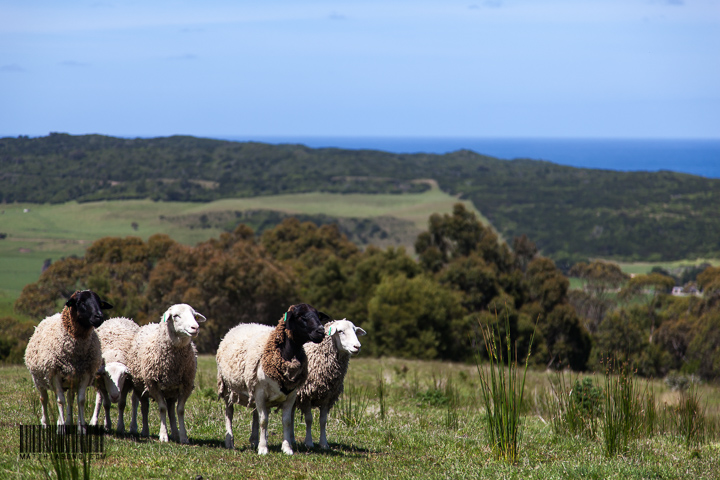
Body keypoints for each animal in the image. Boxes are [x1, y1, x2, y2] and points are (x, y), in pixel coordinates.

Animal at [23, 288, 113, 428]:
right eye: (81, 302)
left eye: (99, 303)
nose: (99, 317)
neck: (75, 351)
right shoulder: (55, 373)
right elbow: (60, 401)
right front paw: (61, 427)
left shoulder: (85, 373)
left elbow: (81, 400)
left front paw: (81, 427)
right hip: (39, 379)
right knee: (44, 399)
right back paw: (46, 423)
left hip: (70, 379)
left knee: (70, 399)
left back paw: (68, 421)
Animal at [126, 304, 205, 442]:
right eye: (176, 316)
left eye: (194, 315)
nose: (195, 327)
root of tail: (150, 324)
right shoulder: (153, 384)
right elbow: (162, 408)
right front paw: (163, 435)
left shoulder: (186, 385)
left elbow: (180, 410)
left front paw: (183, 436)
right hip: (141, 385)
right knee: (144, 407)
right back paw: (145, 431)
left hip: (171, 390)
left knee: (171, 410)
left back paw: (175, 433)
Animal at [214, 302, 326, 456]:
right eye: (300, 316)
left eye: (318, 315)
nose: (321, 331)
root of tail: (240, 325)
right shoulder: (260, 392)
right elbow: (264, 421)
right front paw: (263, 449)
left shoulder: (291, 395)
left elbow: (286, 421)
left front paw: (286, 448)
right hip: (227, 389)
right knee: (229, 413)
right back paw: (229, 442)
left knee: (255, 414)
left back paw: (254, 441)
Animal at [290, 318, 366, 450]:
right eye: (340, 331)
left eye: (355, 330)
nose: (357, 346)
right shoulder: (306, 395)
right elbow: (309, 419)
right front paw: (309, 443)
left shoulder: (327, 397)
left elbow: (323, 421)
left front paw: (324, 444)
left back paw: (292, 440)